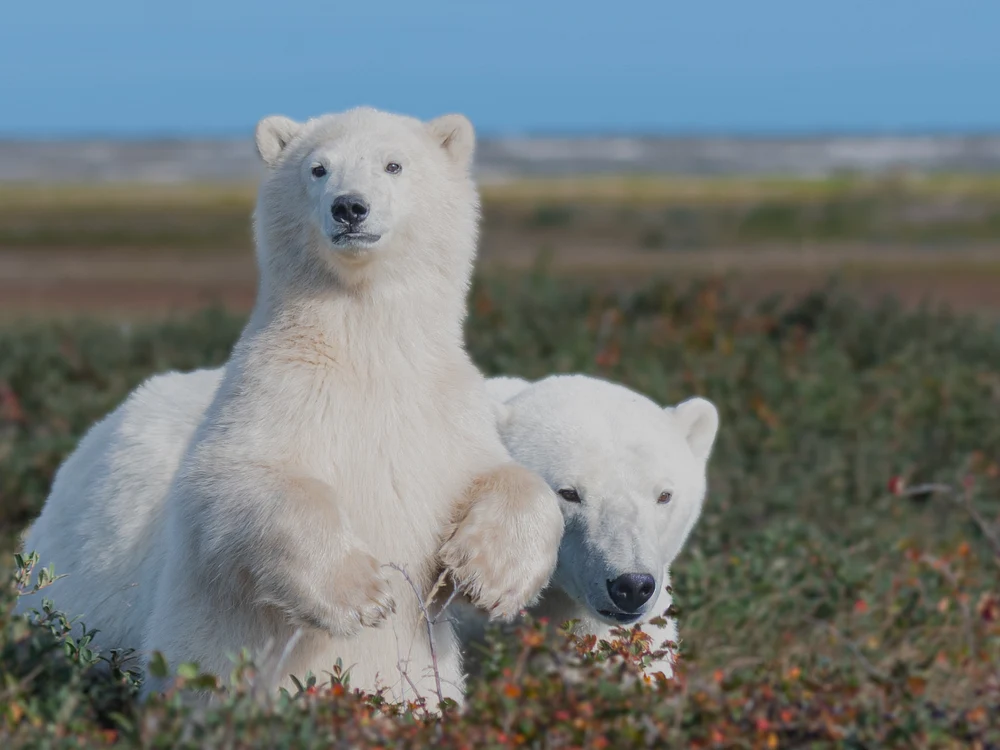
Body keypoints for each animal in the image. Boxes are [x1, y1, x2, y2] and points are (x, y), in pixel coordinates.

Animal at [16, 107, 564, 705]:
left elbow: (504, 474)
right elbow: (243, 483)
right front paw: (363, 594)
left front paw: (487, 577)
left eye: (394, 164)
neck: (365, 350)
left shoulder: (443, 407)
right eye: (318, 168)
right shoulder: (274, 391)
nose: (350, 207)